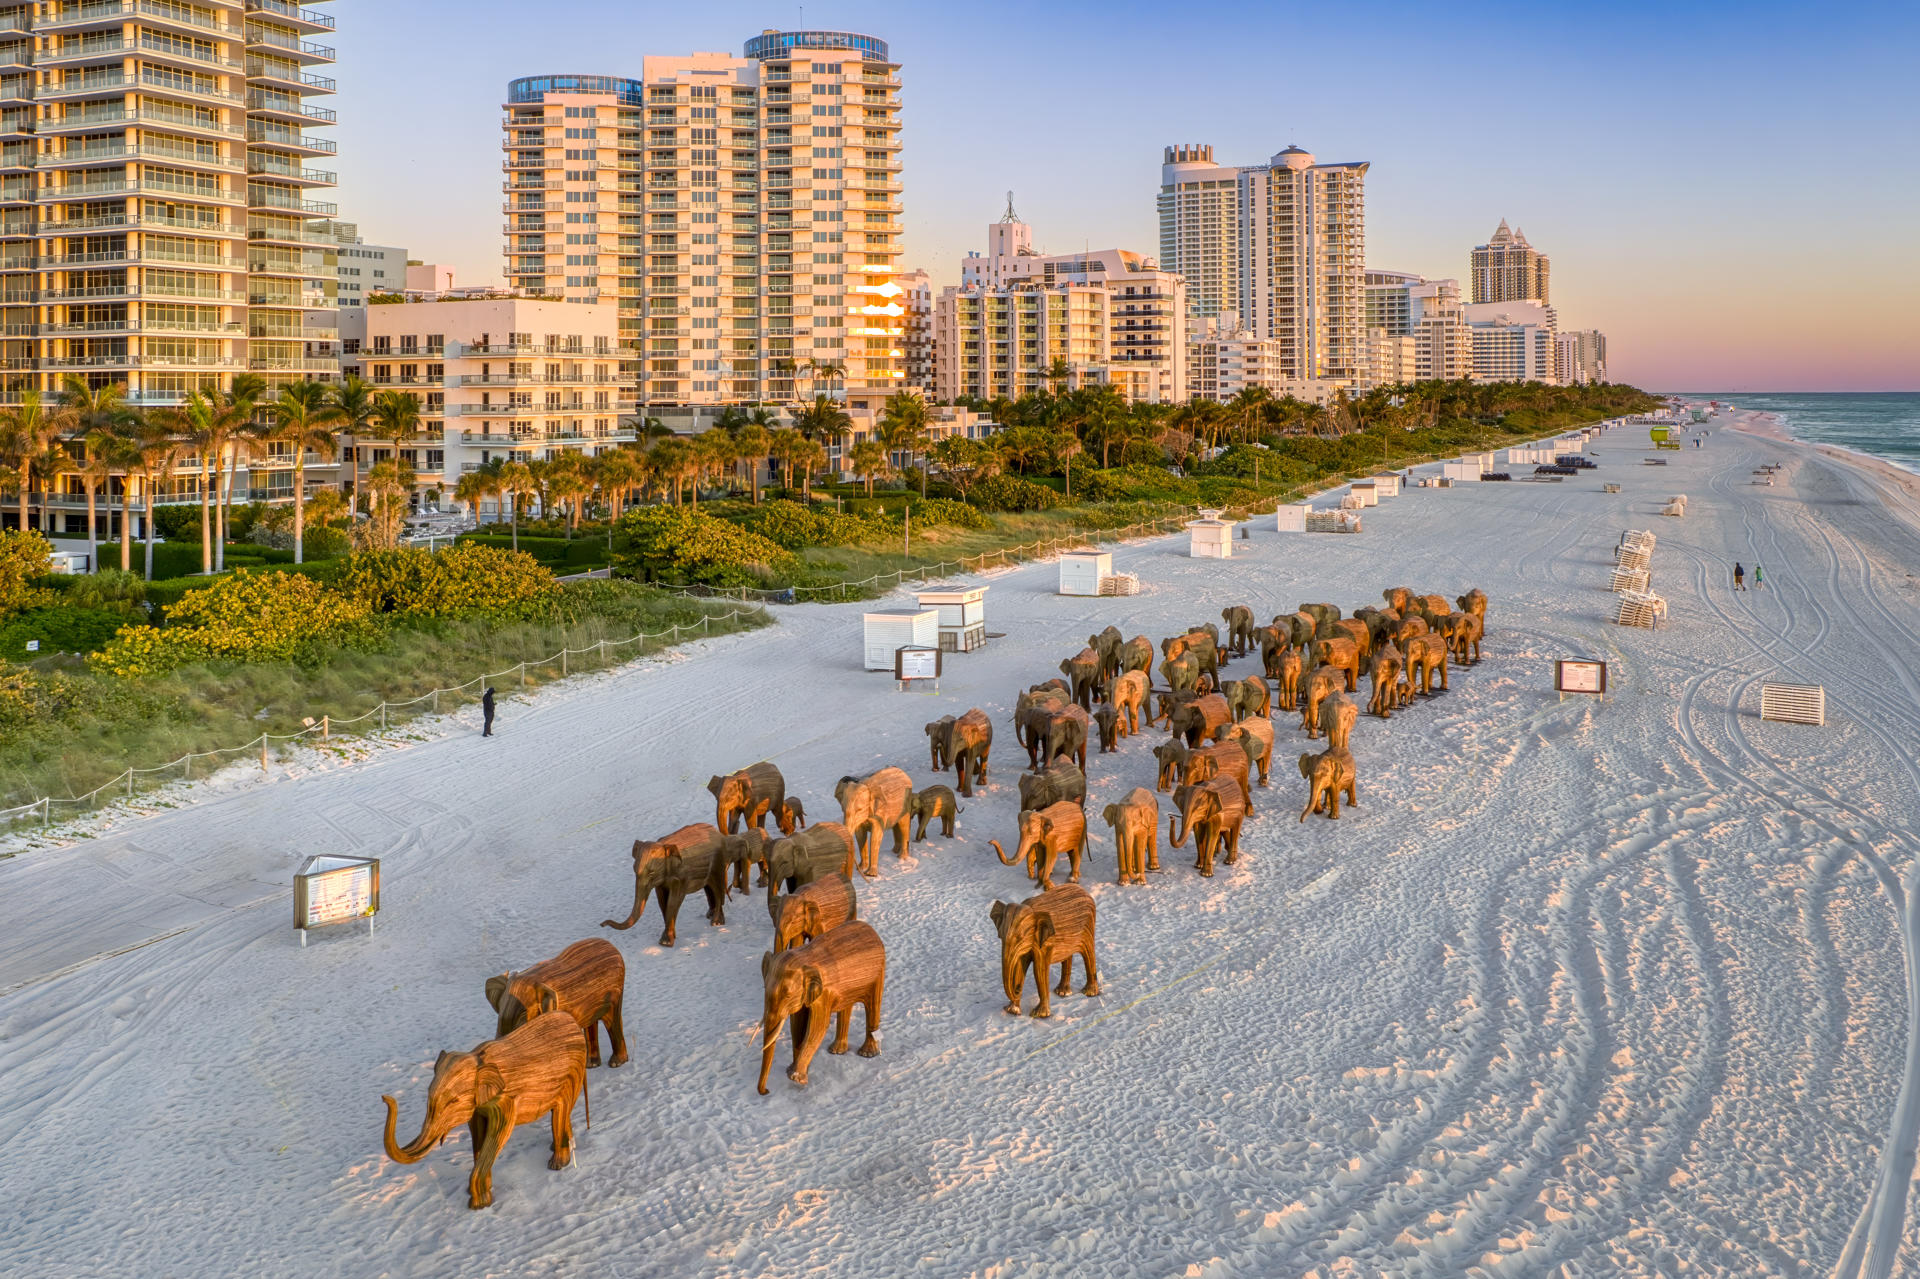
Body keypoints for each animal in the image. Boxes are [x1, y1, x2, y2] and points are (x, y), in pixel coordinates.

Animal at [376, 1006, 579, 1206]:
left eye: (454, 1101)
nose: (384, 1097)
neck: (477, 1060)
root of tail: (572, 1020)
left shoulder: (504, 1100)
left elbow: (498, 1134)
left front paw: (479, 1204)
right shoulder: (478, 1106)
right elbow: (477, 1132)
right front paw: (481, 1192)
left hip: (573, 1072)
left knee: (562, 1108)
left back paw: (557, 1164)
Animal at [487, 937, 629, 1067]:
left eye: (523, 1016)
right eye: (500, 1008)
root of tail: (613, 947)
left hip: (614, 993)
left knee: (612, 1021)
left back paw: (616, 1063)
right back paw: (592, 1065)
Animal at [760, 921, 887, 1090]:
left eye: (787, 995)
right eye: (764, 989)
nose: (766, 1091)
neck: (804, 958)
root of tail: (872, 931)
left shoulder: (823, 994)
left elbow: (818, 1027)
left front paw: (796, 1078)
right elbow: (797, 1025)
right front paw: (793, 1070)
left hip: (878, 974)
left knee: (873, 1005)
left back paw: (867, 1054)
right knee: (846, 1007)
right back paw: (837, 1051)